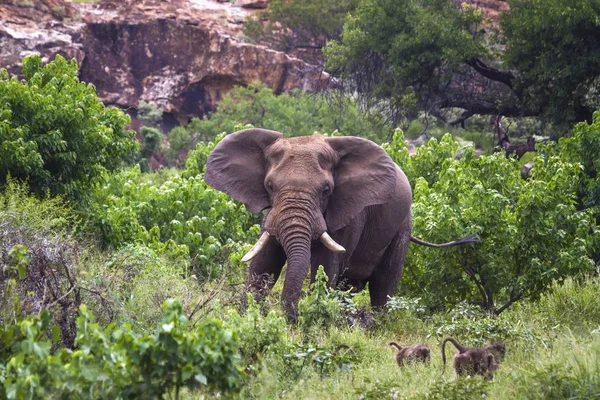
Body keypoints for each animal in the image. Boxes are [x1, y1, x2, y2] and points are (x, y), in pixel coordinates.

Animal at [206, 130, 478, 320]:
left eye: (326, 190)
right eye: (269, 186)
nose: (292, 318)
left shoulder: (349, 213)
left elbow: (325, 267)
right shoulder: (271, 214)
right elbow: (264, 264)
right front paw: (247, 314)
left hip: (402, 225)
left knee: (383, 285)